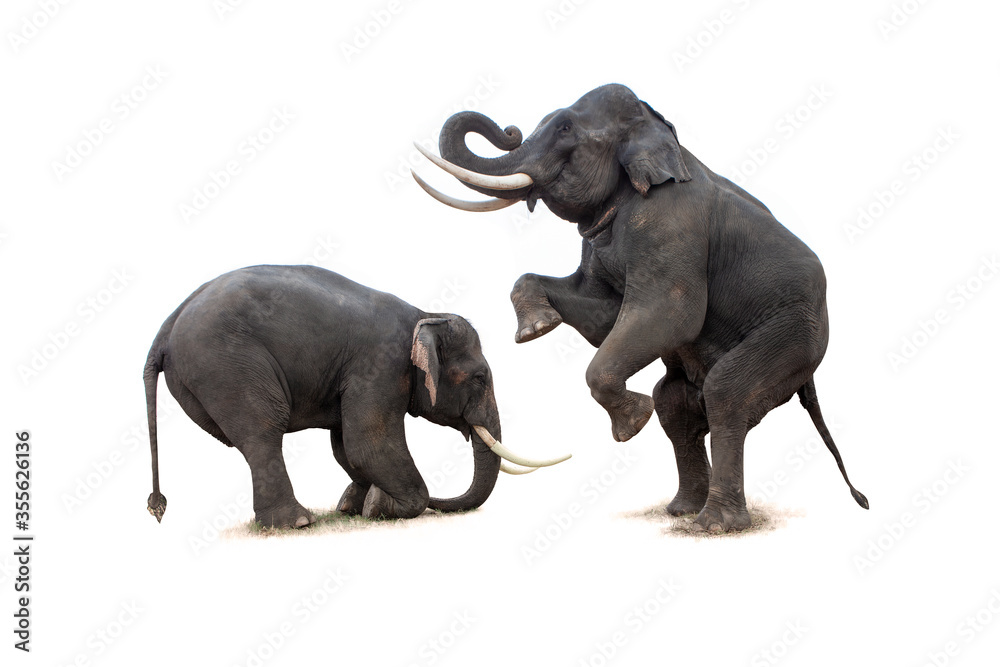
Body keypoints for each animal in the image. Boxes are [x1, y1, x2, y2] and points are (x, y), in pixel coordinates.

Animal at [143, 265, 569, 528]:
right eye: (480, 378)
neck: (424, 313)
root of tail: (164, 328)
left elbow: (344, 445)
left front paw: (353, 507)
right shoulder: (381, 364)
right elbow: (368, 443)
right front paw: (381, 506)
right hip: (228, 363)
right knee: (263, 431)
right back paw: (298, 523)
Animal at [412, 83, 868, 532]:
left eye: (564, 128)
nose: (510, 130)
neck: (657, 130)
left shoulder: (671, 222)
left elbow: (671, 314)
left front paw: (632, 425)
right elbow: (603, 316)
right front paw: (536, 329)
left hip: (796, 331)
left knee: (724, 392)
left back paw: (711, 526)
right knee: (676, 402)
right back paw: (681, 510)